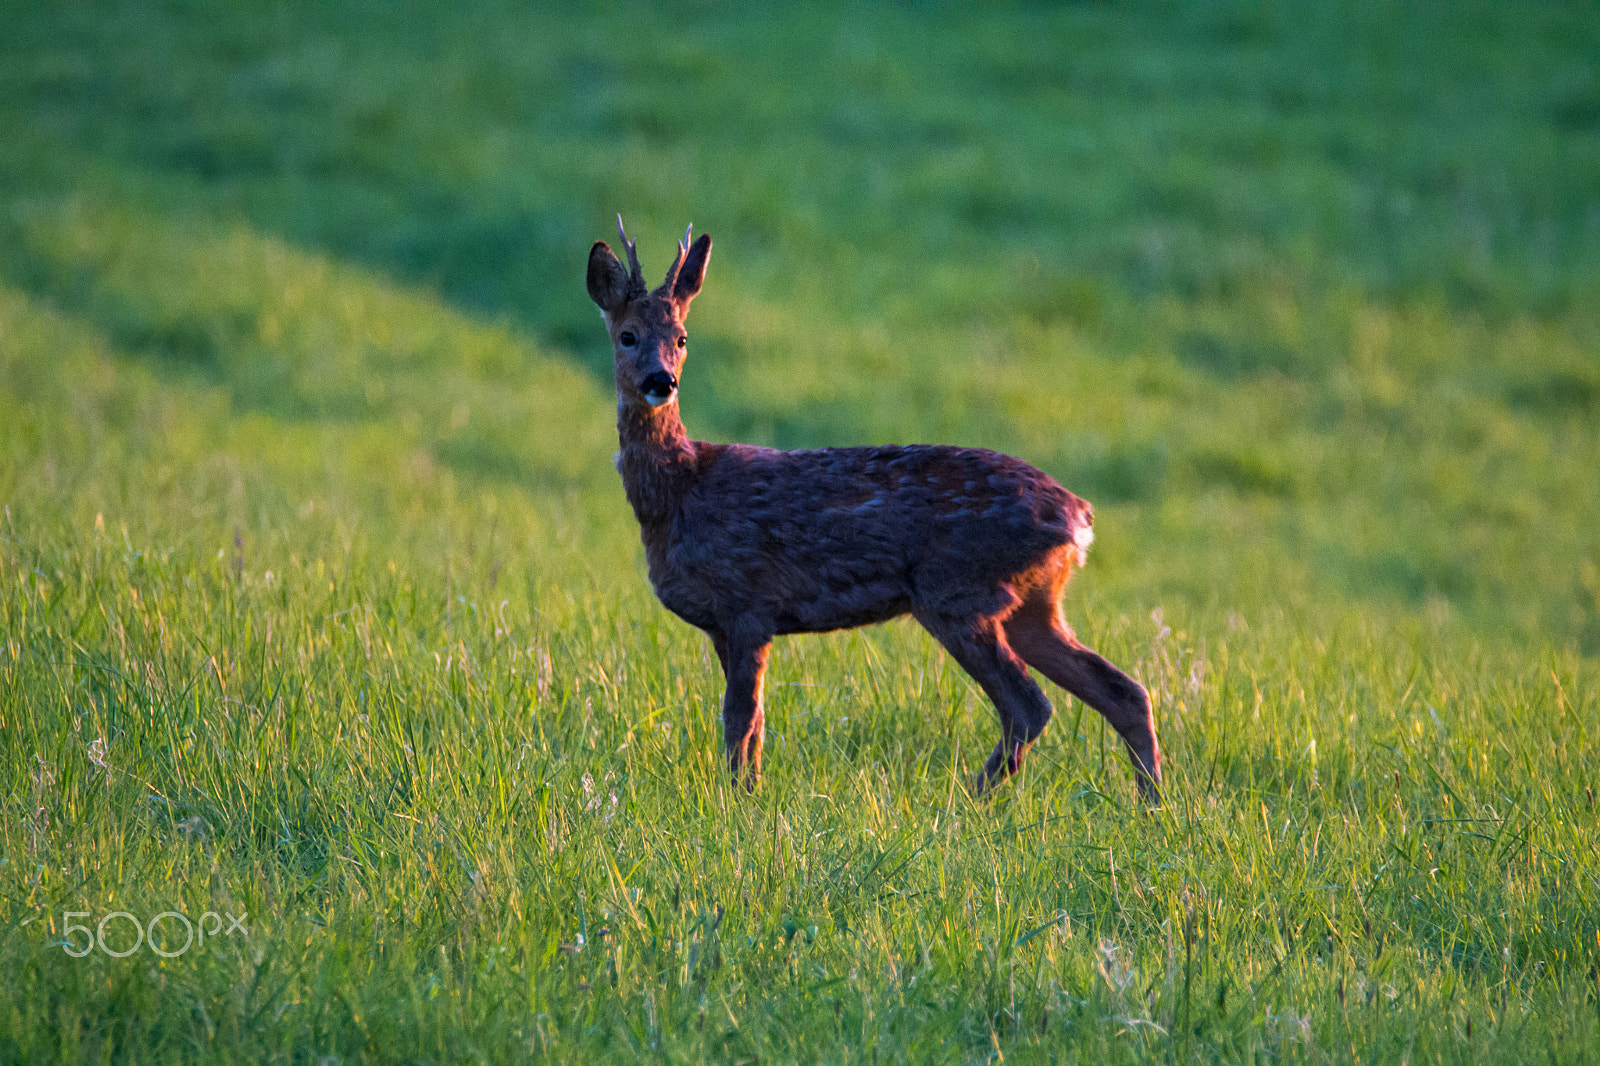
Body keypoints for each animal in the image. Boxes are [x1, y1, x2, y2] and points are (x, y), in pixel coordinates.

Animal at [587, 219, 1162, 802]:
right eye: (627, 335)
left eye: (682, 338)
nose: (662, 381)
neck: (678, 493)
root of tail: (1079, 518)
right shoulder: (723, 623)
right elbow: (756, 722)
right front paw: (749, 792)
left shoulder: (748, 602)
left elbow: (741, 719)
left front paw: (740, 800)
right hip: (1034, 603)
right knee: (1123, 690)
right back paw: (1152, 804)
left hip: (958, 592)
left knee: (1029, 704)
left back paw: (970, 800)